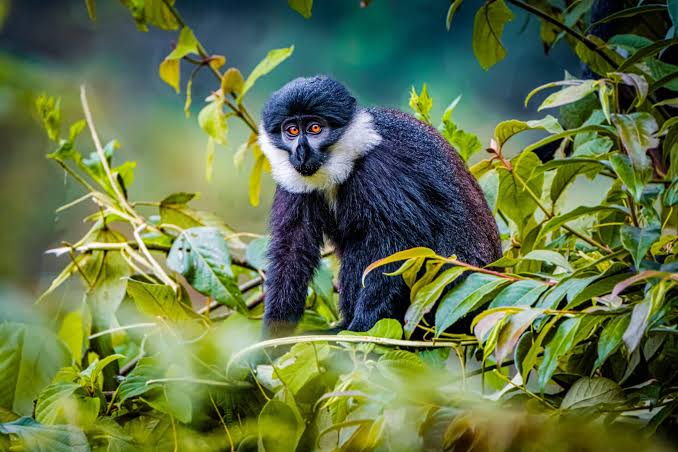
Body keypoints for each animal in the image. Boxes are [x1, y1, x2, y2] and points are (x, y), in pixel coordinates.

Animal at [258, 76, 502, 337]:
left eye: (315, 128)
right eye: (292, 131)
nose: (301, 152)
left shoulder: (379, 170)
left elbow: (398, 245)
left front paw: (362, 330)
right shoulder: (293, 182)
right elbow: (292, 249)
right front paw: (273, 336)